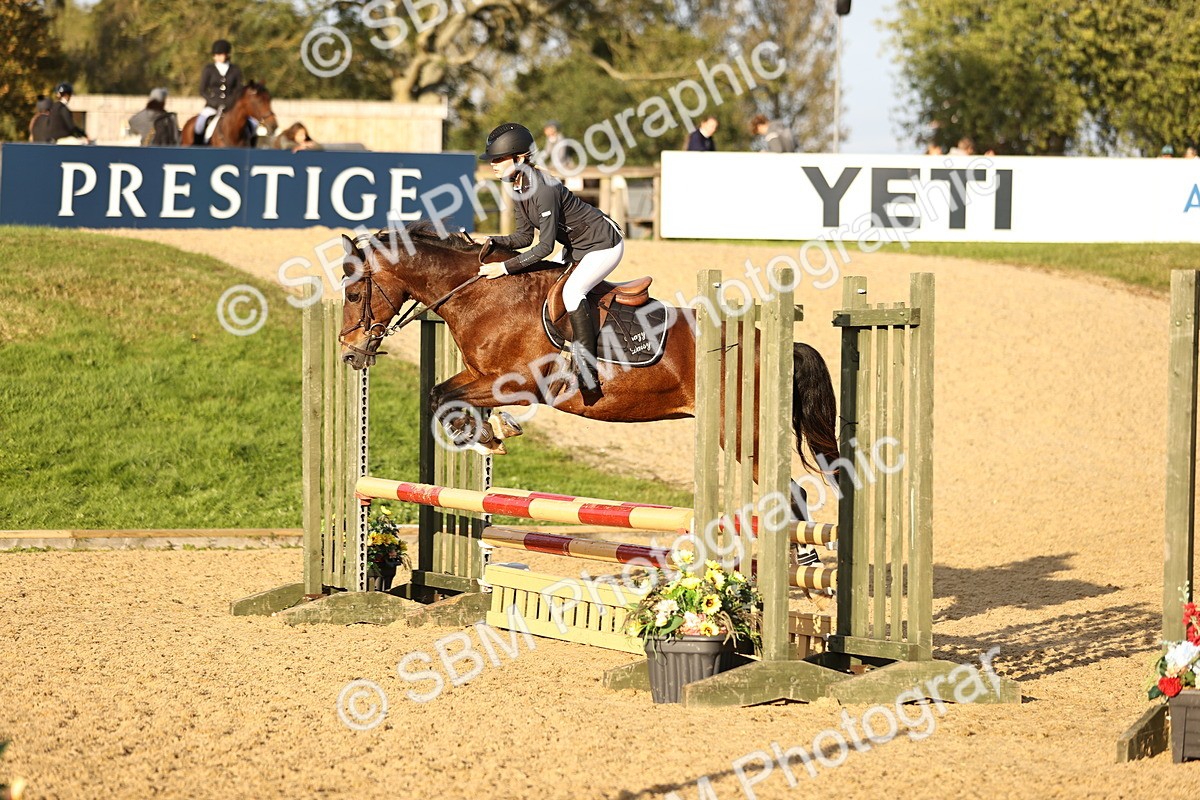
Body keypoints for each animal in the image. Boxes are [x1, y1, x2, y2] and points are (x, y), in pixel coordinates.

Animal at [336, 221, 839, 483]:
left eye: (354, 293)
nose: (349, 355)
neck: (484, 295)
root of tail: (772, 344)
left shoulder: (519, 384)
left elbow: (443, 397)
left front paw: (486, 432)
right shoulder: (482, 377)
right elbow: (440, 394)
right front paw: (487, 432)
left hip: (742, 435)